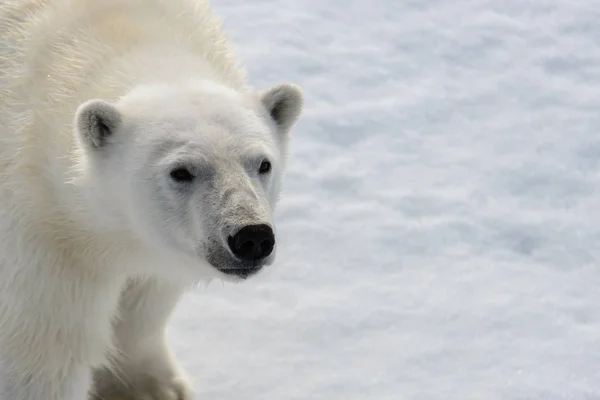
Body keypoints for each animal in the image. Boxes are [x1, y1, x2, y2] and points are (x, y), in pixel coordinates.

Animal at [0, 0, 302, 400]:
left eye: (263, 163)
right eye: (181, 171)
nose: (251, 237)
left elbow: (145, 300)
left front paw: (154, 387)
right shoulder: (42, 232)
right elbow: (47, 350)